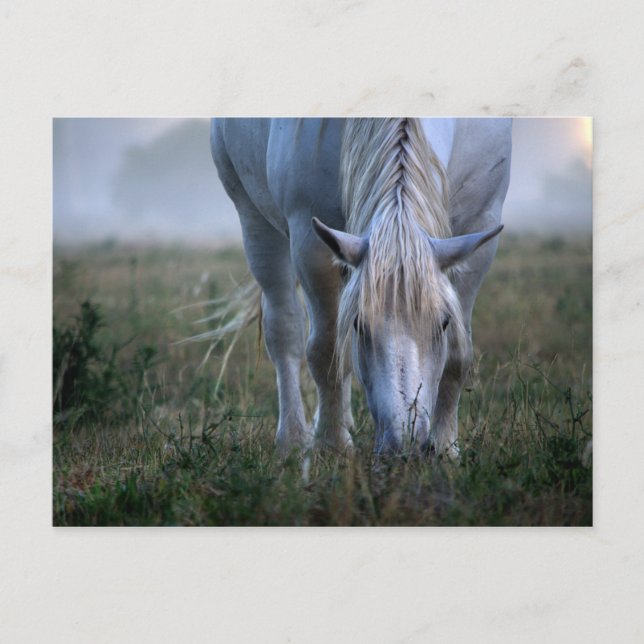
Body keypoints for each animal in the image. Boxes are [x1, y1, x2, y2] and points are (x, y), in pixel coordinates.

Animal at [210, 118, 511, 456]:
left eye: (443, 323)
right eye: (359, 325)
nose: (404, 446)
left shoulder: (481, 226)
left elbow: (459, 354)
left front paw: (445, 449)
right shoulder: (310, 239)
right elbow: (326, 349)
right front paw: (333, 446)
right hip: (256, 221)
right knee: (284, 330)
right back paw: (294, 439)